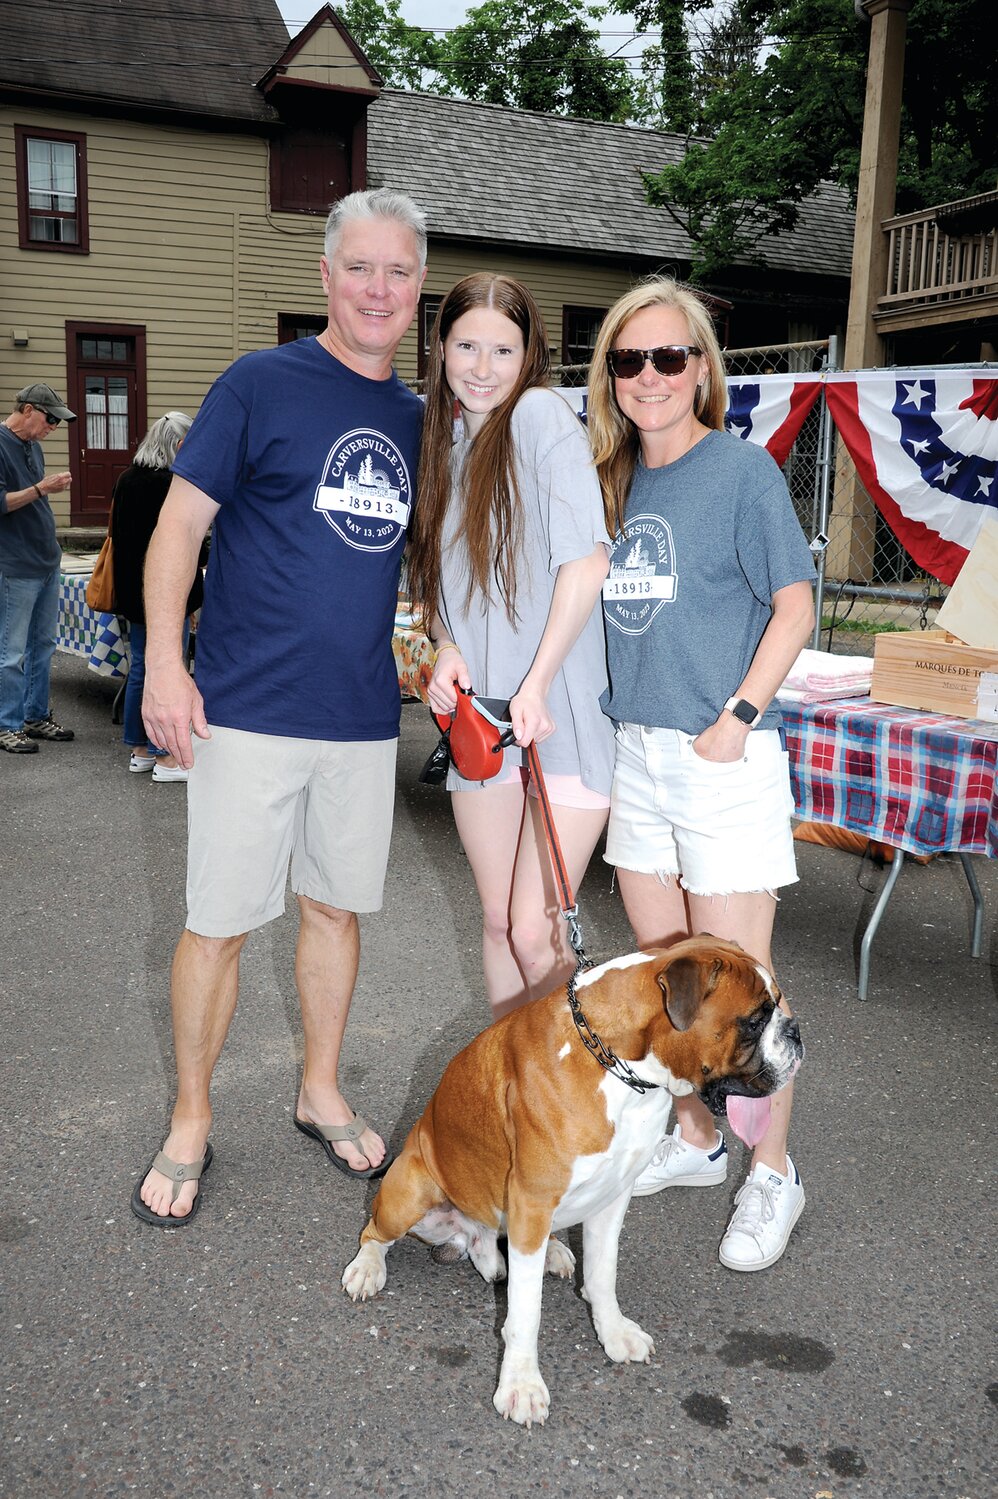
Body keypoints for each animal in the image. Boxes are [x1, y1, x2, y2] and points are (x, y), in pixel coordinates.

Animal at [341, 935, 803, 1427]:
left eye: (777, 1009)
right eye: (754, 1021)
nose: (796, 1032)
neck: (616, 1063)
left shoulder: (613, 1195)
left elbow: (602, 1273)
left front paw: (613, 1332)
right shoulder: (532, 1199)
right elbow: (526, 1311)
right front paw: (521, 1385)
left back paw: (545, 1251)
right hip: (410, 1190)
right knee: (375, 1232)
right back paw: (368, 1269)